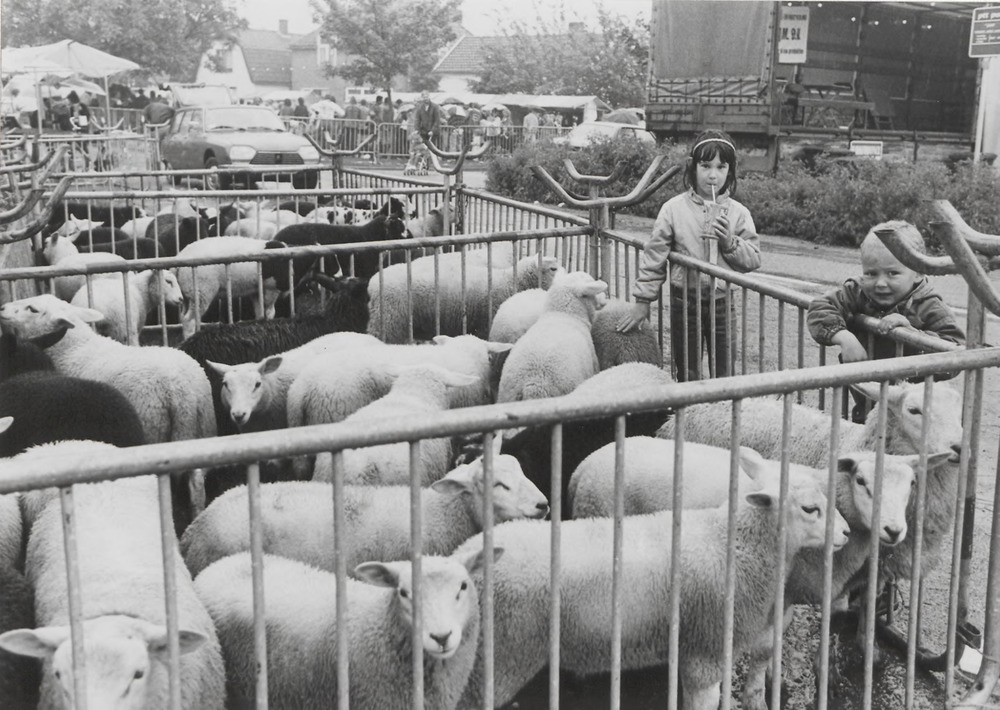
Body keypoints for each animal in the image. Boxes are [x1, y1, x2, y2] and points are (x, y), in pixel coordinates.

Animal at [454, 470, 848, 709]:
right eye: (810, 509)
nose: (845, 533)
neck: (734, 543)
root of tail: (462, 559)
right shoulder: (706, 649)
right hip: (501, 655)